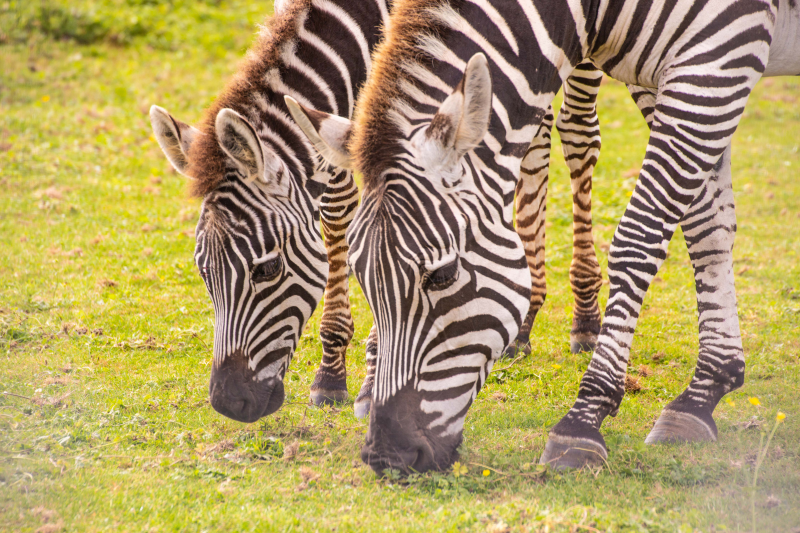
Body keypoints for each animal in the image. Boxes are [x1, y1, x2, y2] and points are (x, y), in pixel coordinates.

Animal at [149, 0, 391, 422]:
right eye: (203, 270)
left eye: (269, 269)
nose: (227, 403)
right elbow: (336, 206)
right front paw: (332, 374)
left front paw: (372, 379)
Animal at [289, 0, 799, 472]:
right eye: (361, 279)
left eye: (443, 275)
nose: (386, 456)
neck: (591, 13)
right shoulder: (674, 74)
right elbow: (706, 226)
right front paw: (705, 391)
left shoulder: (718, 55)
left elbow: (639, 236)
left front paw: (583, 420)